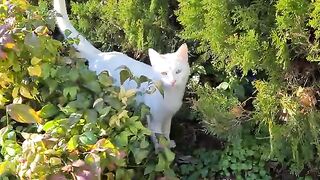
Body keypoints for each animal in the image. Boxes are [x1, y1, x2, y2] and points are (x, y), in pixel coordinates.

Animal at [53, 0, 190, 147]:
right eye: (164, 73)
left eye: (178, 71)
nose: (173, 81)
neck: (171, 96)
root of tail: (101, 55)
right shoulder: (154, 119)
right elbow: (159, 138)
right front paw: (163, 150)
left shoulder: (167, 117)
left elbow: (166, 132)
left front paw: (169, 144)